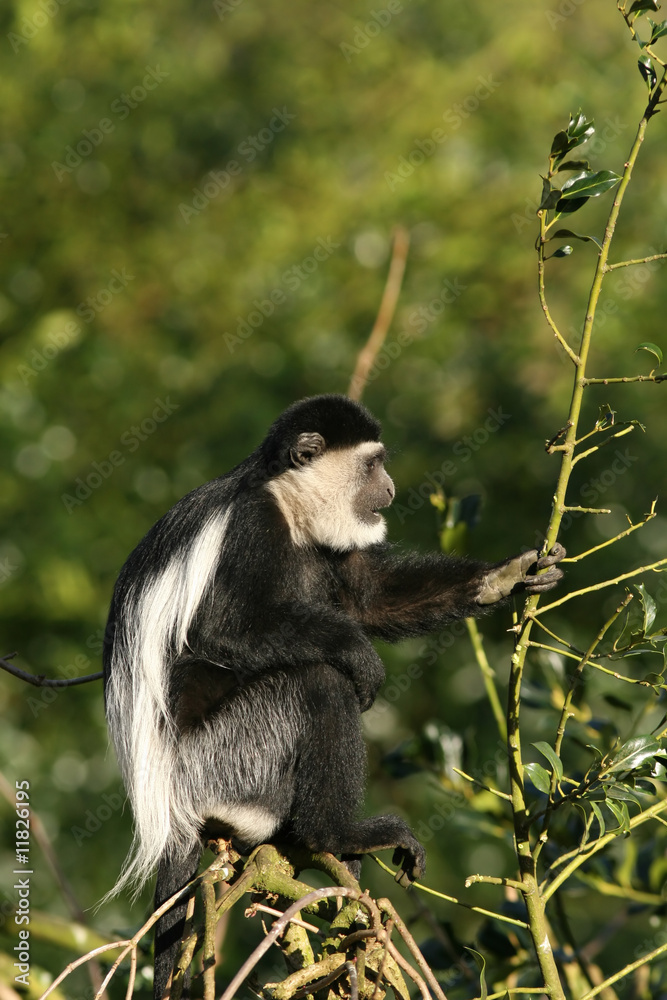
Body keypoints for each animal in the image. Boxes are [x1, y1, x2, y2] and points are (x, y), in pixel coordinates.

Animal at [102, 393, 565, 998]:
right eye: (374, 464)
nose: (389, 489)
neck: (286, 501)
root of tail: (166, 805)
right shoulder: (250, 530)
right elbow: (222, 632)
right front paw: (359, 655)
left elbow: (371, 598)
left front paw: (509, 575)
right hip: (223, 759)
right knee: (315, 684)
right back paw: (338, 830)